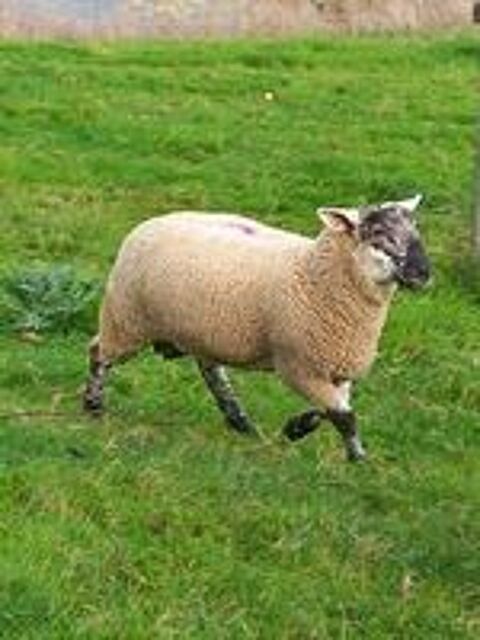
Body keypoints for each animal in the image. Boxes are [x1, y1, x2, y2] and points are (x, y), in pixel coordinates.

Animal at [83, 195, 430, 461]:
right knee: (99, 353)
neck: (315, 272)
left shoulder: (335, 367)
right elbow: (344, 415)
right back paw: (93, 406)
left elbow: (332, 409)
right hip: (126, 319)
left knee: (211, 372)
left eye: (416, 230)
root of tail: (148, 223)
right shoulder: (298, 365)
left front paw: (297, 428)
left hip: (202, 331)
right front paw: (358, 458)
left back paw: (239, 421)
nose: (424, 273)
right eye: (380, 233)